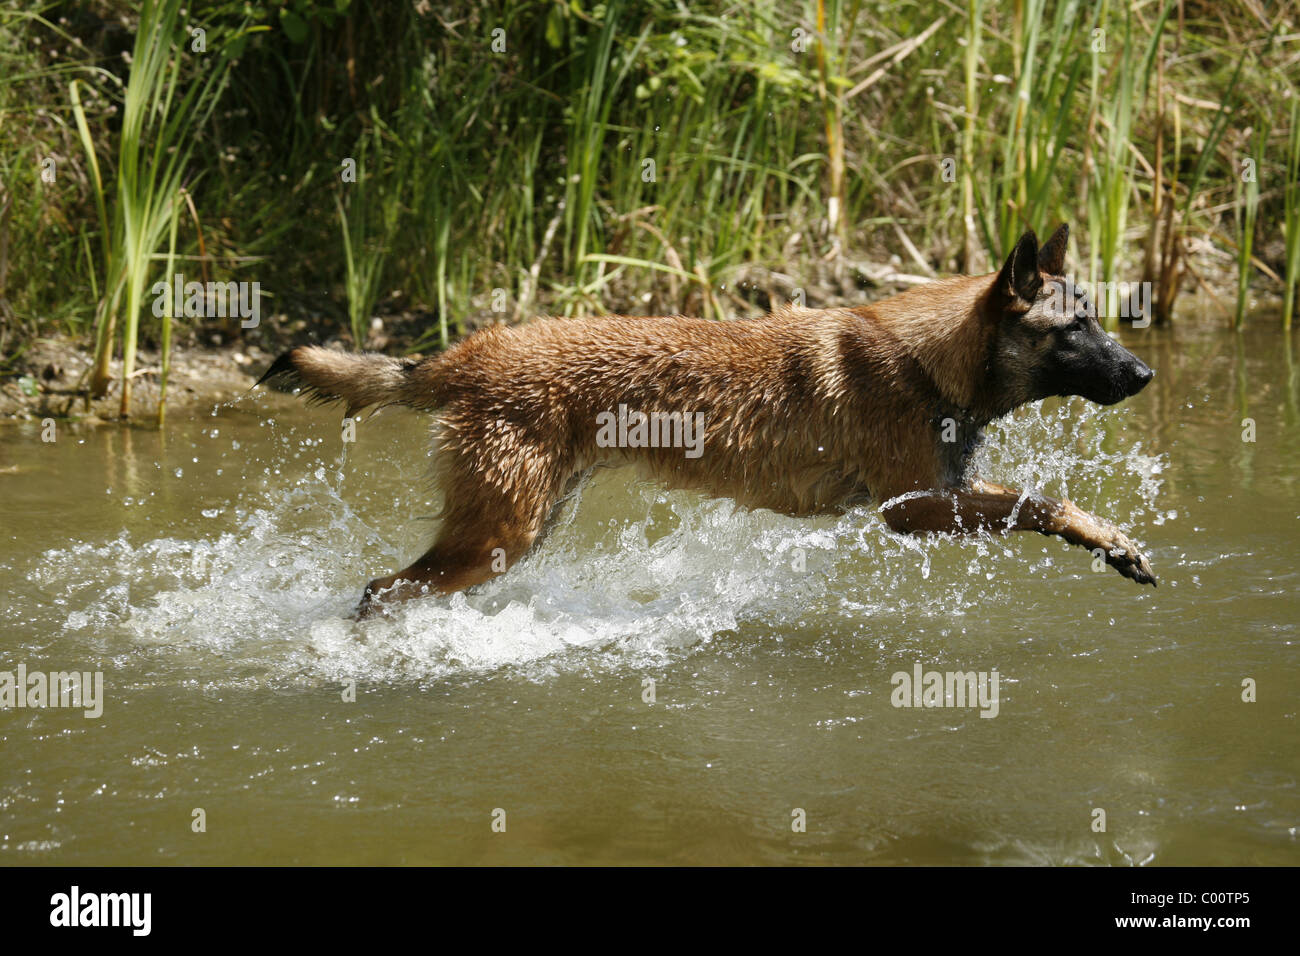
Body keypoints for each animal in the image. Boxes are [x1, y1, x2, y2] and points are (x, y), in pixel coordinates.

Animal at [258, 223, 1154, 616]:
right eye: (1074, 329)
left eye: (1099, 319)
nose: (1143, 374)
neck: (931, 359)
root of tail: (464, 356)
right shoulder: (912, 510)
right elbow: (1042, 501)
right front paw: (1105, 539)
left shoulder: (941, 493)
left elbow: (1039, 499)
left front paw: (1116, 542)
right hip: (499, 535)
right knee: (381, 589)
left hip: (522, 528)